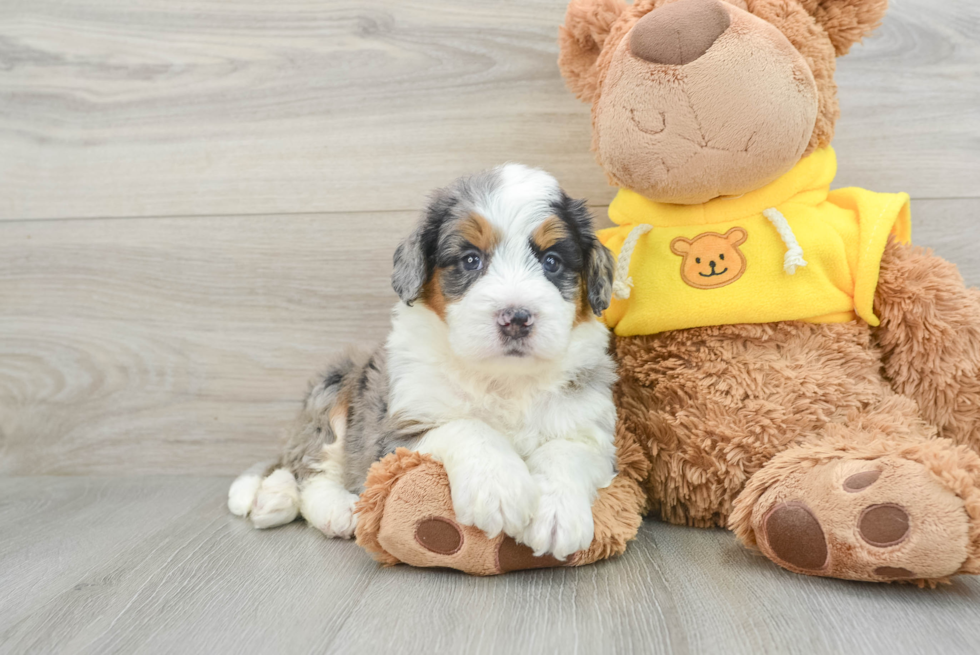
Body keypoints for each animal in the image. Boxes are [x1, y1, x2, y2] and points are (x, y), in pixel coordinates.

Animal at [228, 164, 612, 560]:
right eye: (470, 259)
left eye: (552, 261)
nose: (516, 318)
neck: (501, 379)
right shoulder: (395, 430)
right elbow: (467, 427)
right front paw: (497, 487)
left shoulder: (593, 433)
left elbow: (566, 451)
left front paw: (557, 515)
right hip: (337, 384)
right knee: (309, 467)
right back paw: (328, 508)